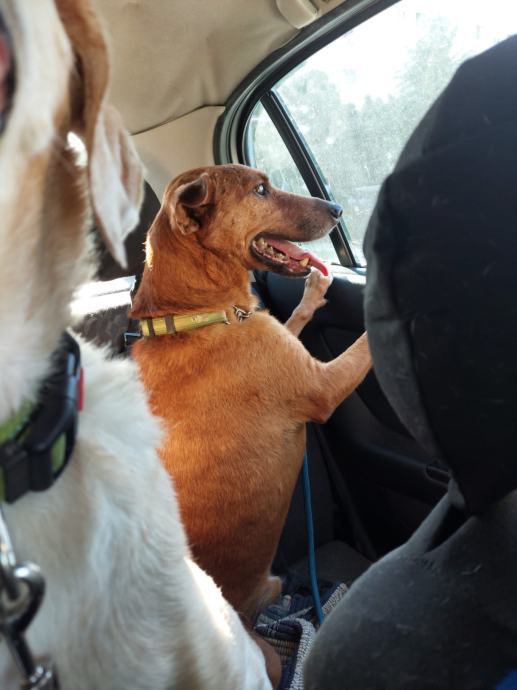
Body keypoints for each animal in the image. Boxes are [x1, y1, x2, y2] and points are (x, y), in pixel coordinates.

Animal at [131, 164, 372, 621]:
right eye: (260, 190)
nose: (337, 208)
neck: (192, 313)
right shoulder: (323, 384)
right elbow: (365, 343)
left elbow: (294, 319)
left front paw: (314, 293)